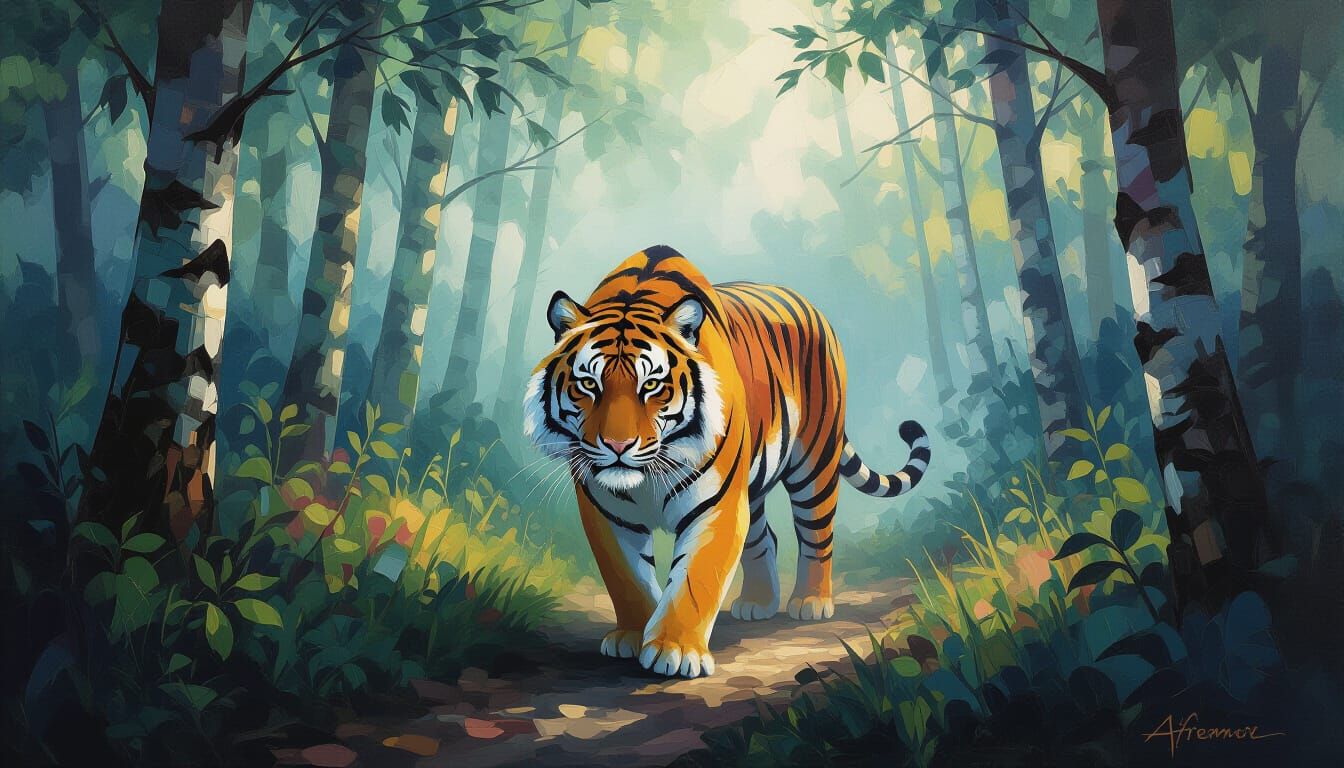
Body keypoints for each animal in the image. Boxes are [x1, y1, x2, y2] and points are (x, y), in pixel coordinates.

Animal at [523, 246, 931, 678]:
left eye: (651, 385)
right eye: (588, 384)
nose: (618, 445)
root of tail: (812, 306)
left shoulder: (715, 505)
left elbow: (695, 580)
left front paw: (674, 650)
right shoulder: (607, 513)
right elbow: (627, 578)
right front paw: (633, 636)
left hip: (815, 461)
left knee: (817, 533)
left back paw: (811, 602)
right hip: (753, 484)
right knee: (764, 536)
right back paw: (757, 603)